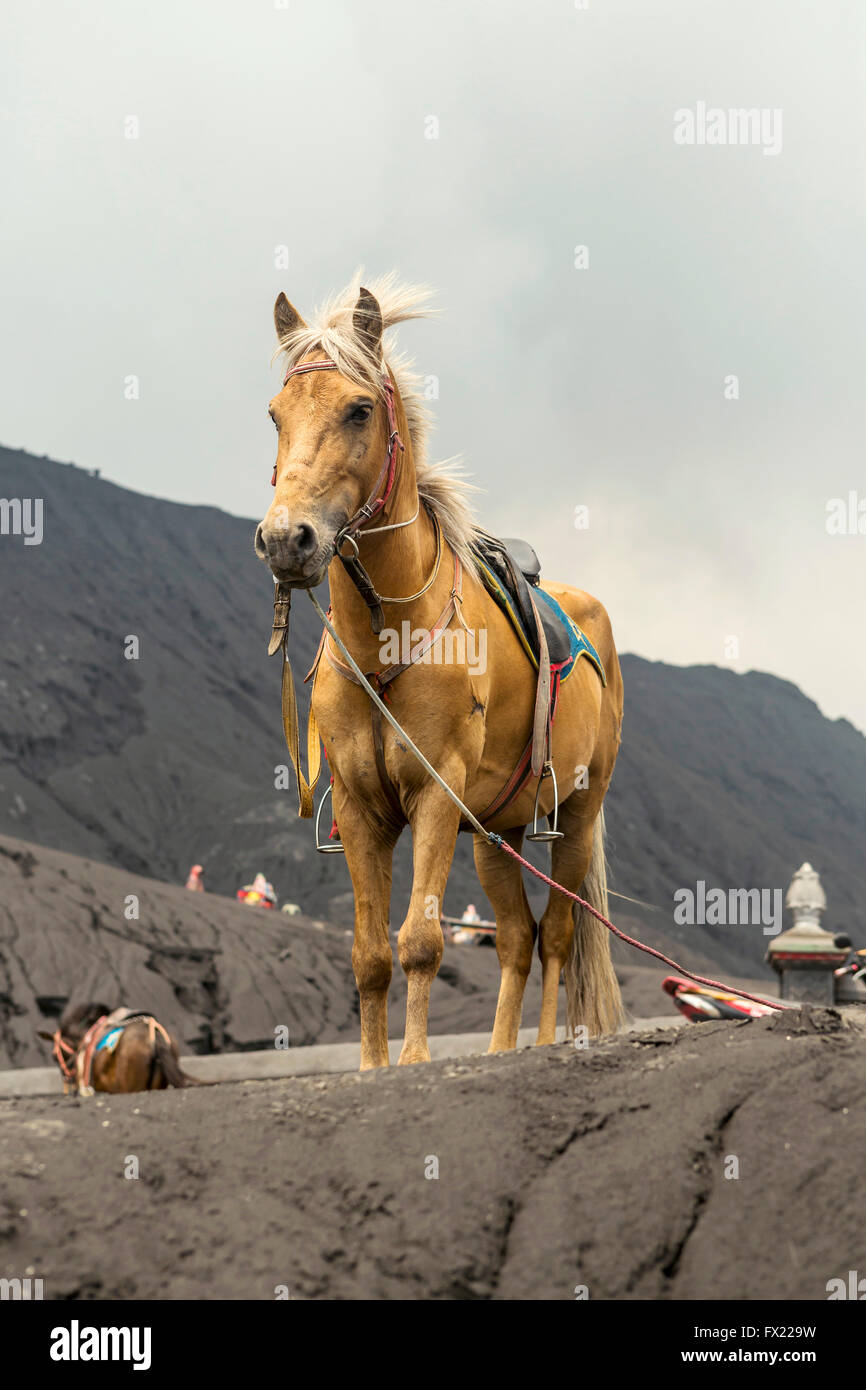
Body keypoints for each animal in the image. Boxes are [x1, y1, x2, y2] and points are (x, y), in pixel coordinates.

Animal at [254, 276, 625, 1067]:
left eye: (359, 409)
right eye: (275, 414)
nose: (285, 539)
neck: (386, 642)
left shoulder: (433, 793)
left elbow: (421, 941)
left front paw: (415, 1060)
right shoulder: (362, 807)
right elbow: (369, 954)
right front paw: (373, 1065)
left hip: (576, 817)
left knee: (555, 937)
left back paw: (539, 1043)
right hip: (495, 833)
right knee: (515, 938)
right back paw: (498, 1048)